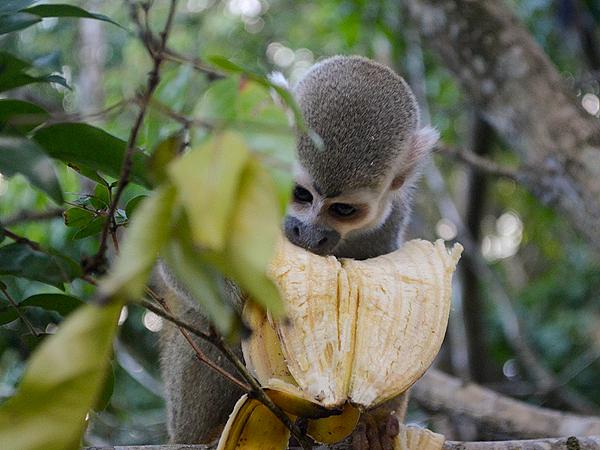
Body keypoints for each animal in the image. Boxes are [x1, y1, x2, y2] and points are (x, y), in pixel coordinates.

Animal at [157, 56, 438, 446]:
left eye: (343, 210)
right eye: (301, 194)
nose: (308, 233)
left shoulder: (392, 214)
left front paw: (376, 421)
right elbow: (176, 245)